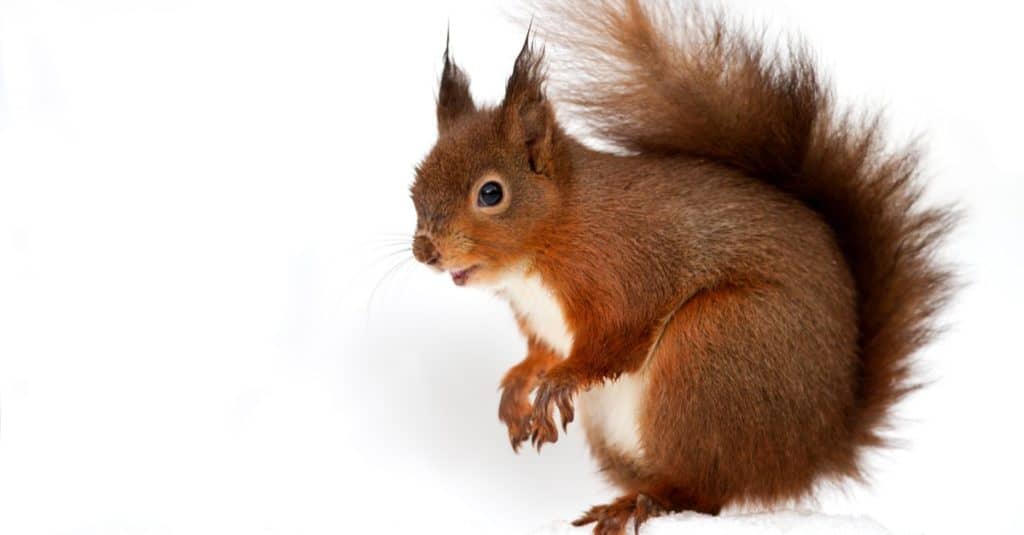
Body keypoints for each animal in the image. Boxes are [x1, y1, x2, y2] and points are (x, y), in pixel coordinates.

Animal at [405, 2, 950, 528]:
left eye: (490, 194)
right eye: (415, 186)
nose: (425, 251)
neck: (549, 241)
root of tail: (811, 454)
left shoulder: (625, 268)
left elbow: (615, 337)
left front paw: (560, 380)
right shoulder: (541, 319)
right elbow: (541, 351)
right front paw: (519, 387)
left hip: (710, 352)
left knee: (704, 489)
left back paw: (638, 505)